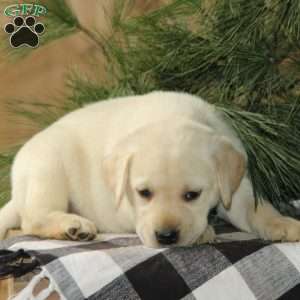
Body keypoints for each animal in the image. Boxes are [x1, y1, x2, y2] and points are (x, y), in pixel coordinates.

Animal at [0, 91, 300, 246]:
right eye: (143, 193)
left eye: (192, 195)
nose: (166, 236)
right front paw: (203, 232)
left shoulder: (234, 188)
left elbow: (256, 208)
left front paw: (282, 224)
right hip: (47, 167)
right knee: (32, 219)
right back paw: (71, 226)